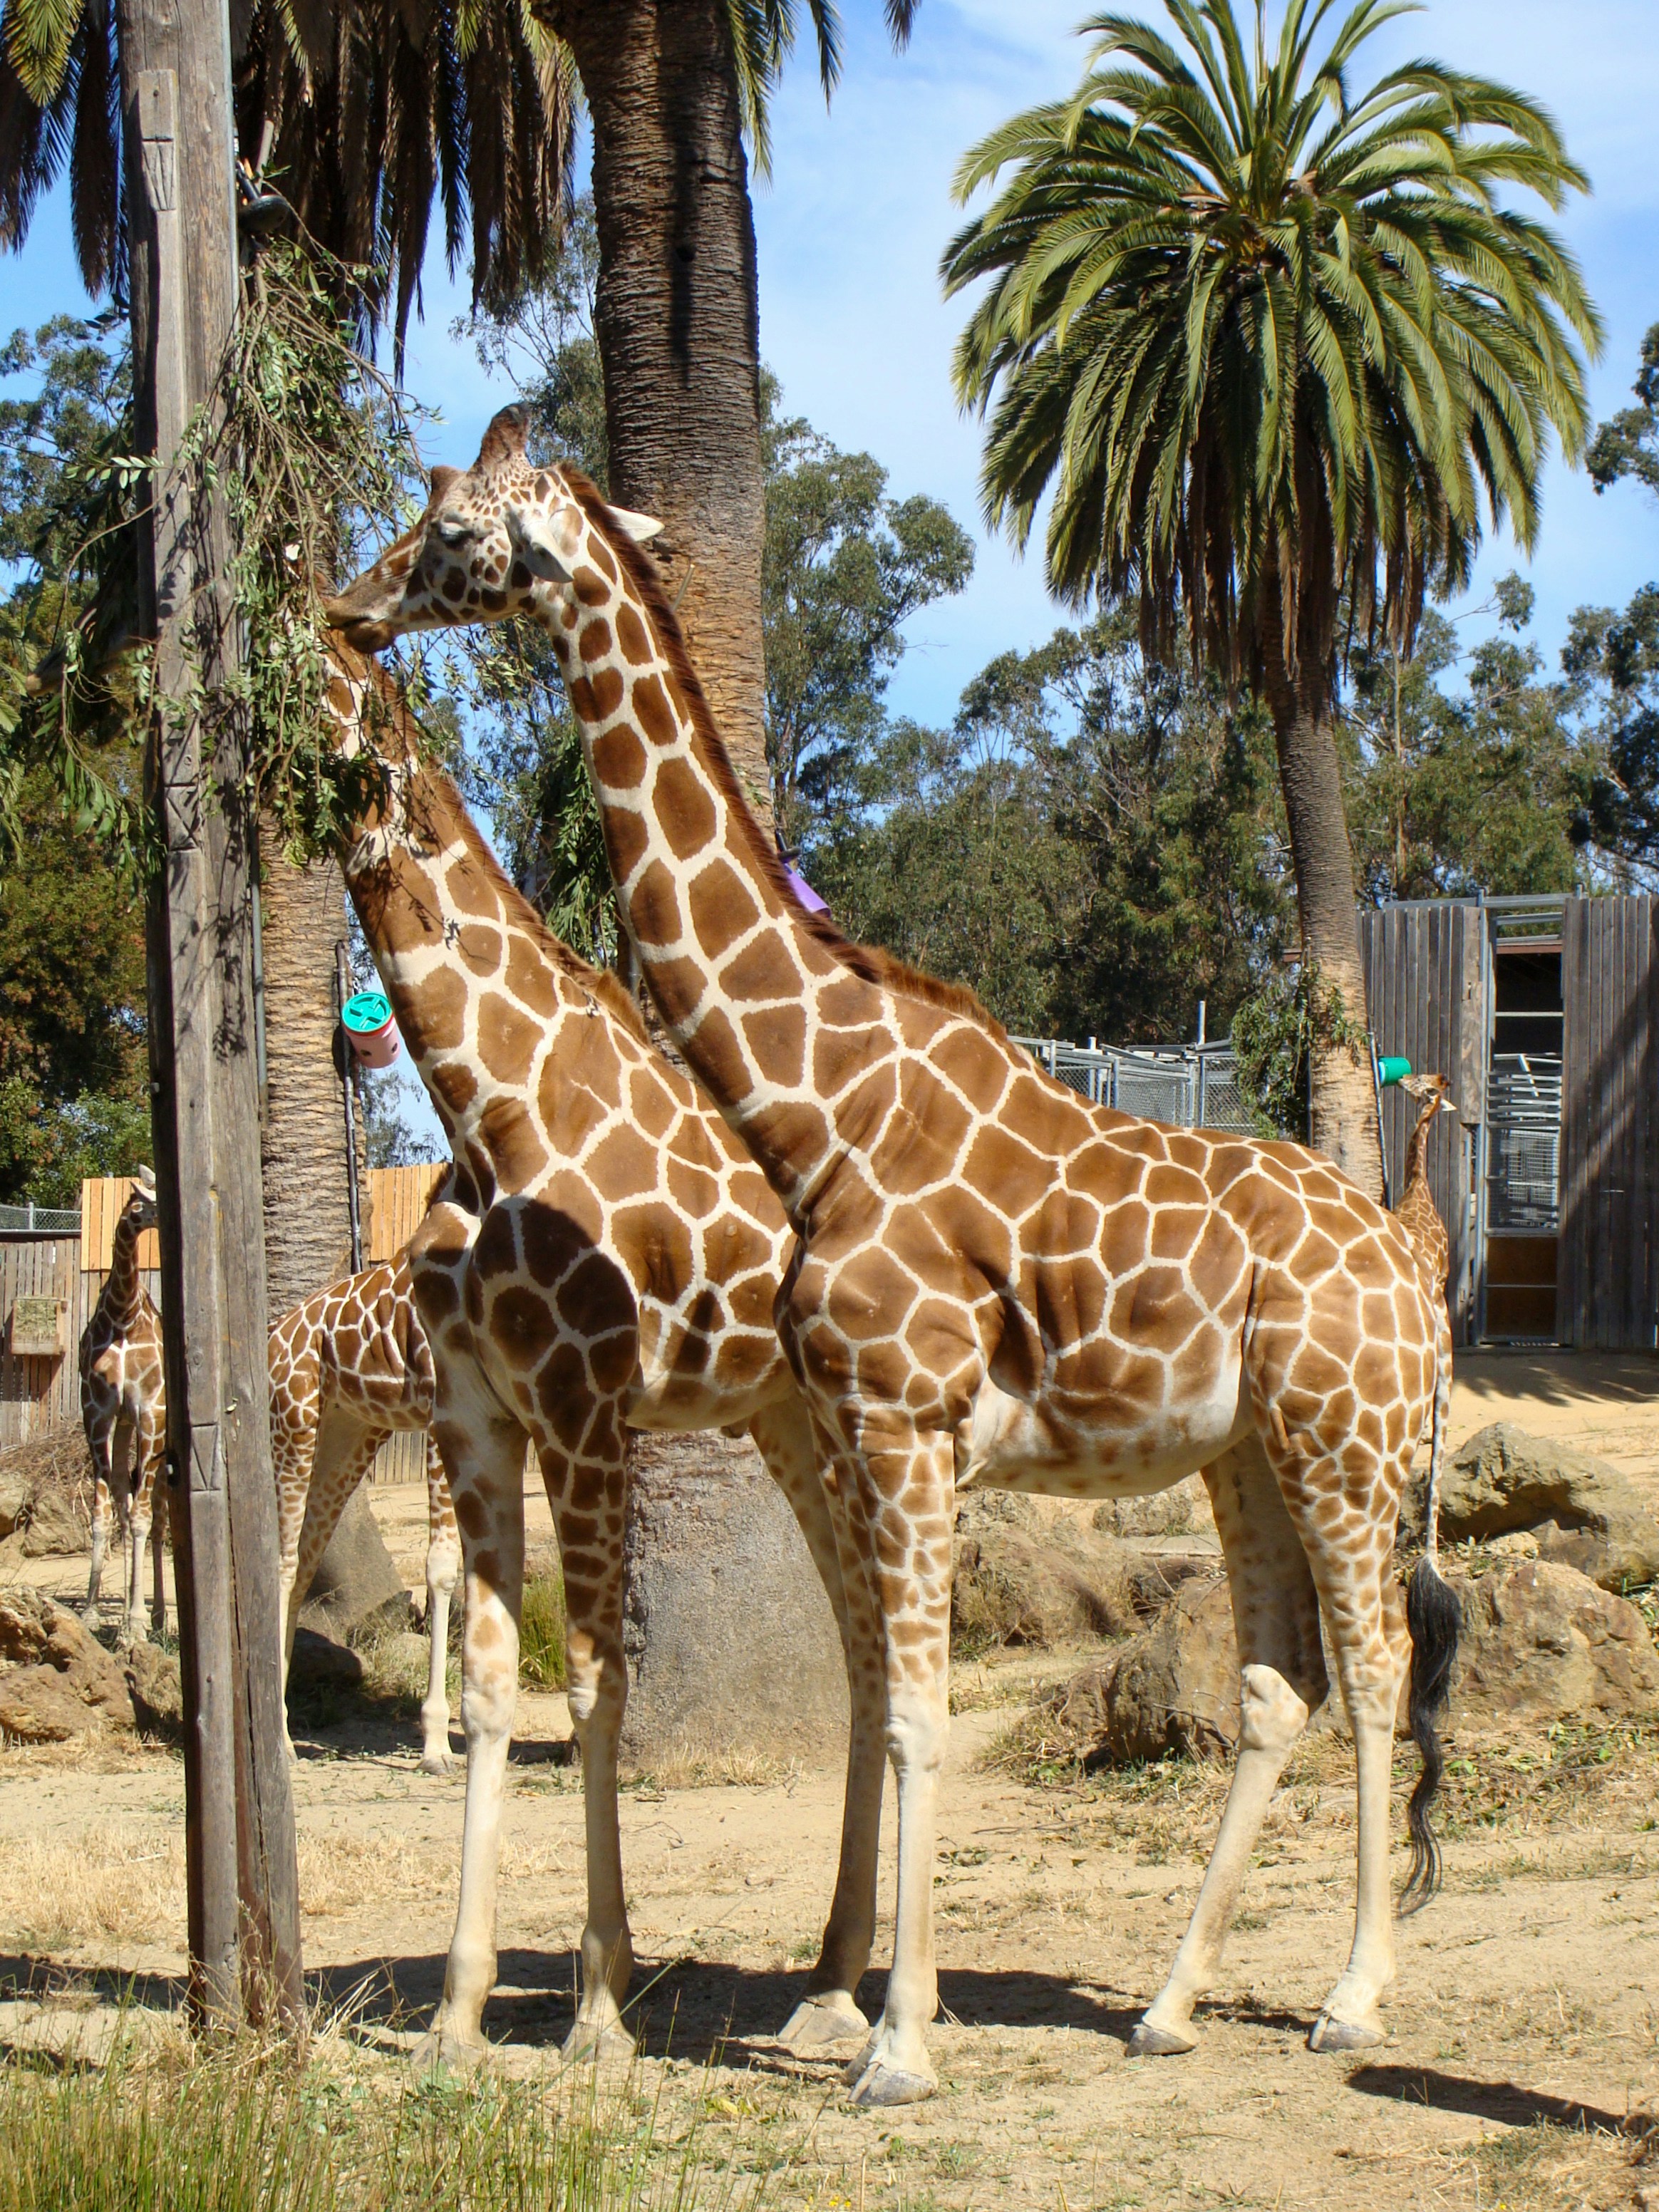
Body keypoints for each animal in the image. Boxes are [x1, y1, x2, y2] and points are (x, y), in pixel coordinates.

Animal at [269, 1252, 460, 1776]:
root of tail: (275, 1334)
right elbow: (442, 1569)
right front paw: (436, 1746)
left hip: (349, 1434)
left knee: (304, 1565)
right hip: (293, 1425)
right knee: (282, 1564)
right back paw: (279, 1739)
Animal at [295, 630, 881, 2074]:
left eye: (314, 642)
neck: (492, 1107)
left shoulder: (583, 1406)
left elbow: (599, 1689)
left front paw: (601, 2006)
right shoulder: (475, 1415)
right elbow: (502, 1685)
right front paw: (457, 2013)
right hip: (784, 1418)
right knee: (861, 1637)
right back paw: (832, 1971)